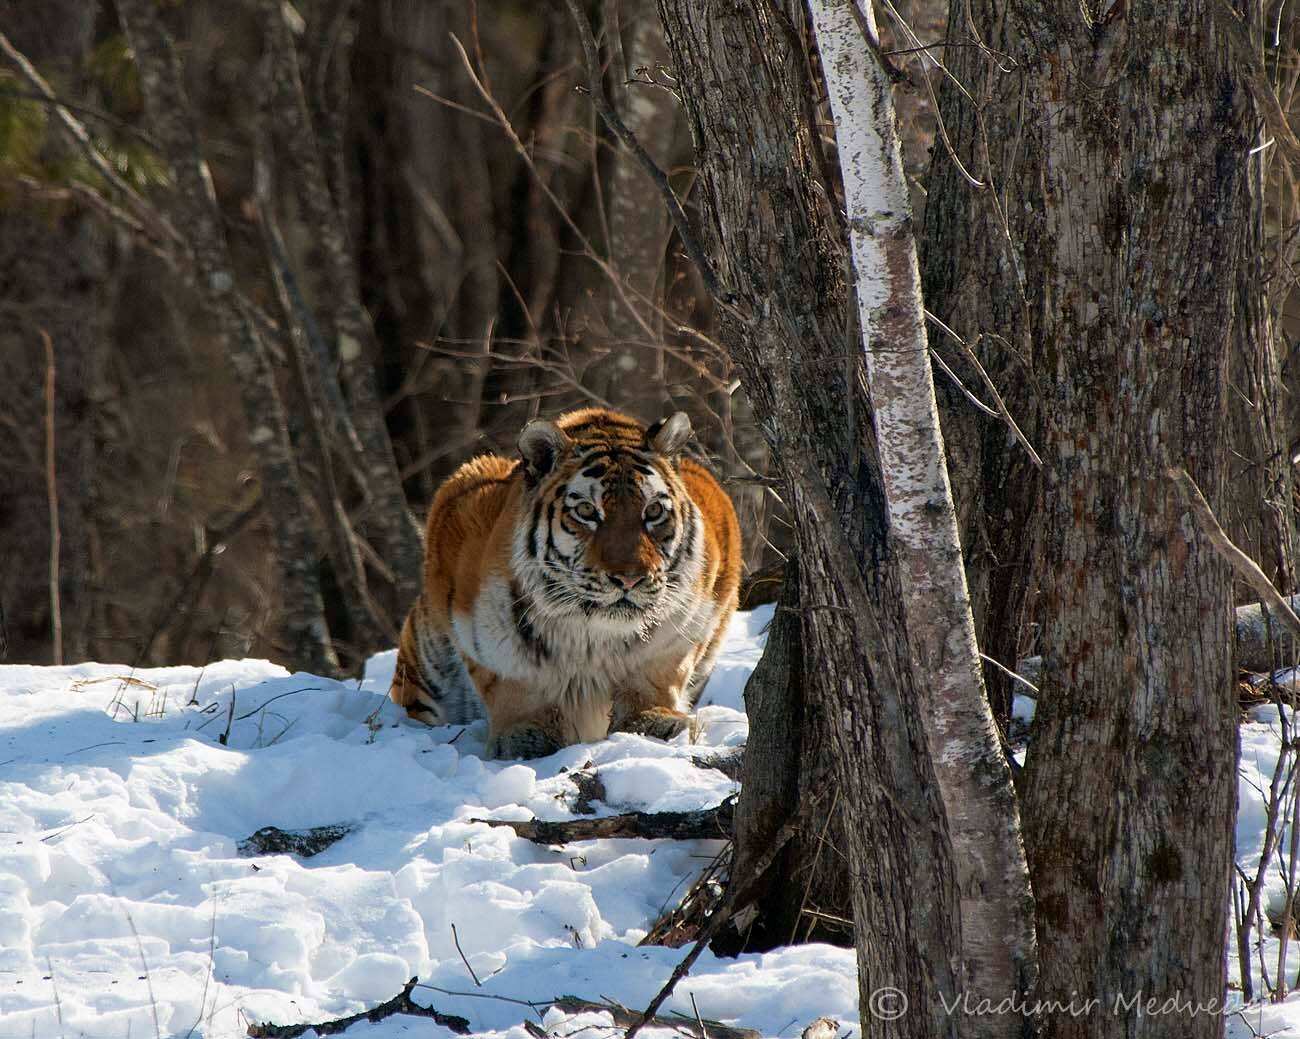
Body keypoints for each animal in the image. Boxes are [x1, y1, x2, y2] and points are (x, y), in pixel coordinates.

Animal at [384, 410, 743, 759]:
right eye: (586, 510)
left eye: (653, 510)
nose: (629, 578)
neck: (593, 634)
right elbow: (510, 678)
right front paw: (524, 734)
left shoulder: (688, 618)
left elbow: (658, 670)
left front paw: (653, 720)